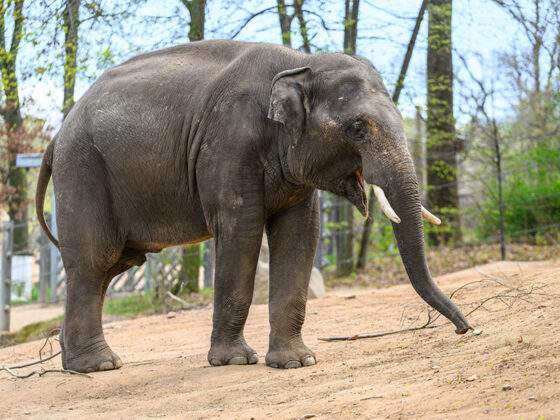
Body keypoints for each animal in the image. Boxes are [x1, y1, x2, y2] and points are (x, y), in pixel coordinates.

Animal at [35, 40, 470, 374]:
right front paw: (234, 361)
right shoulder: (229, 144)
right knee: (95, 259)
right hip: (83, 170)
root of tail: (56, 137)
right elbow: (241, 230)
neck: (300, 63)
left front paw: (296, 362)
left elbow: (301, 233)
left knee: (113, 266)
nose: (465, 329)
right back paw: (98, 366)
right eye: (357, 128)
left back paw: (76, 361)